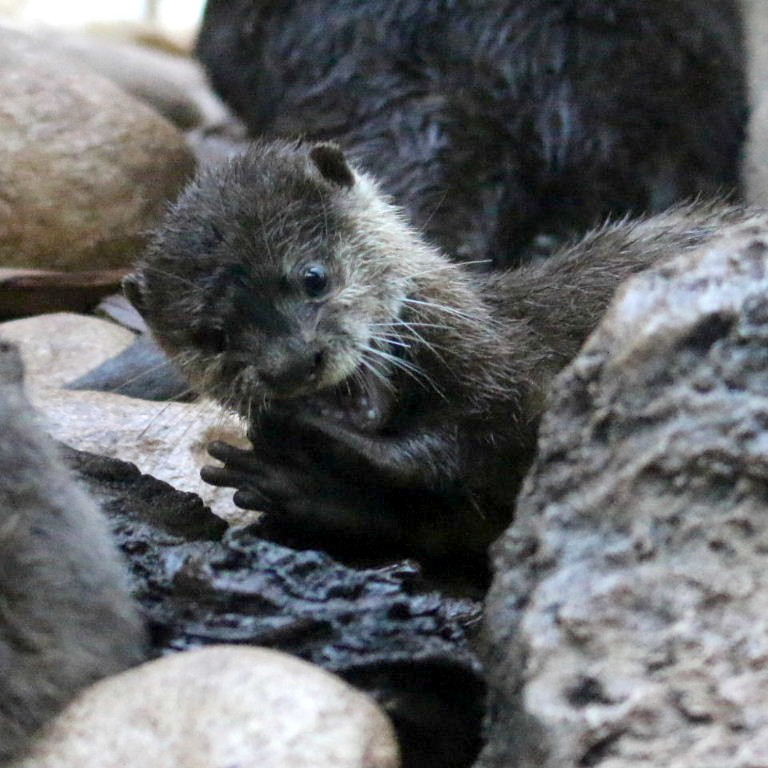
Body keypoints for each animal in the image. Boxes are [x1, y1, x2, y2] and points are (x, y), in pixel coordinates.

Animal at [124, 140, 755, 576]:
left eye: (312, 277)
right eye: (213, 336)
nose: (293, 364)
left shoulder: (510, 373)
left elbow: (481, 441)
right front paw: (296, 485)